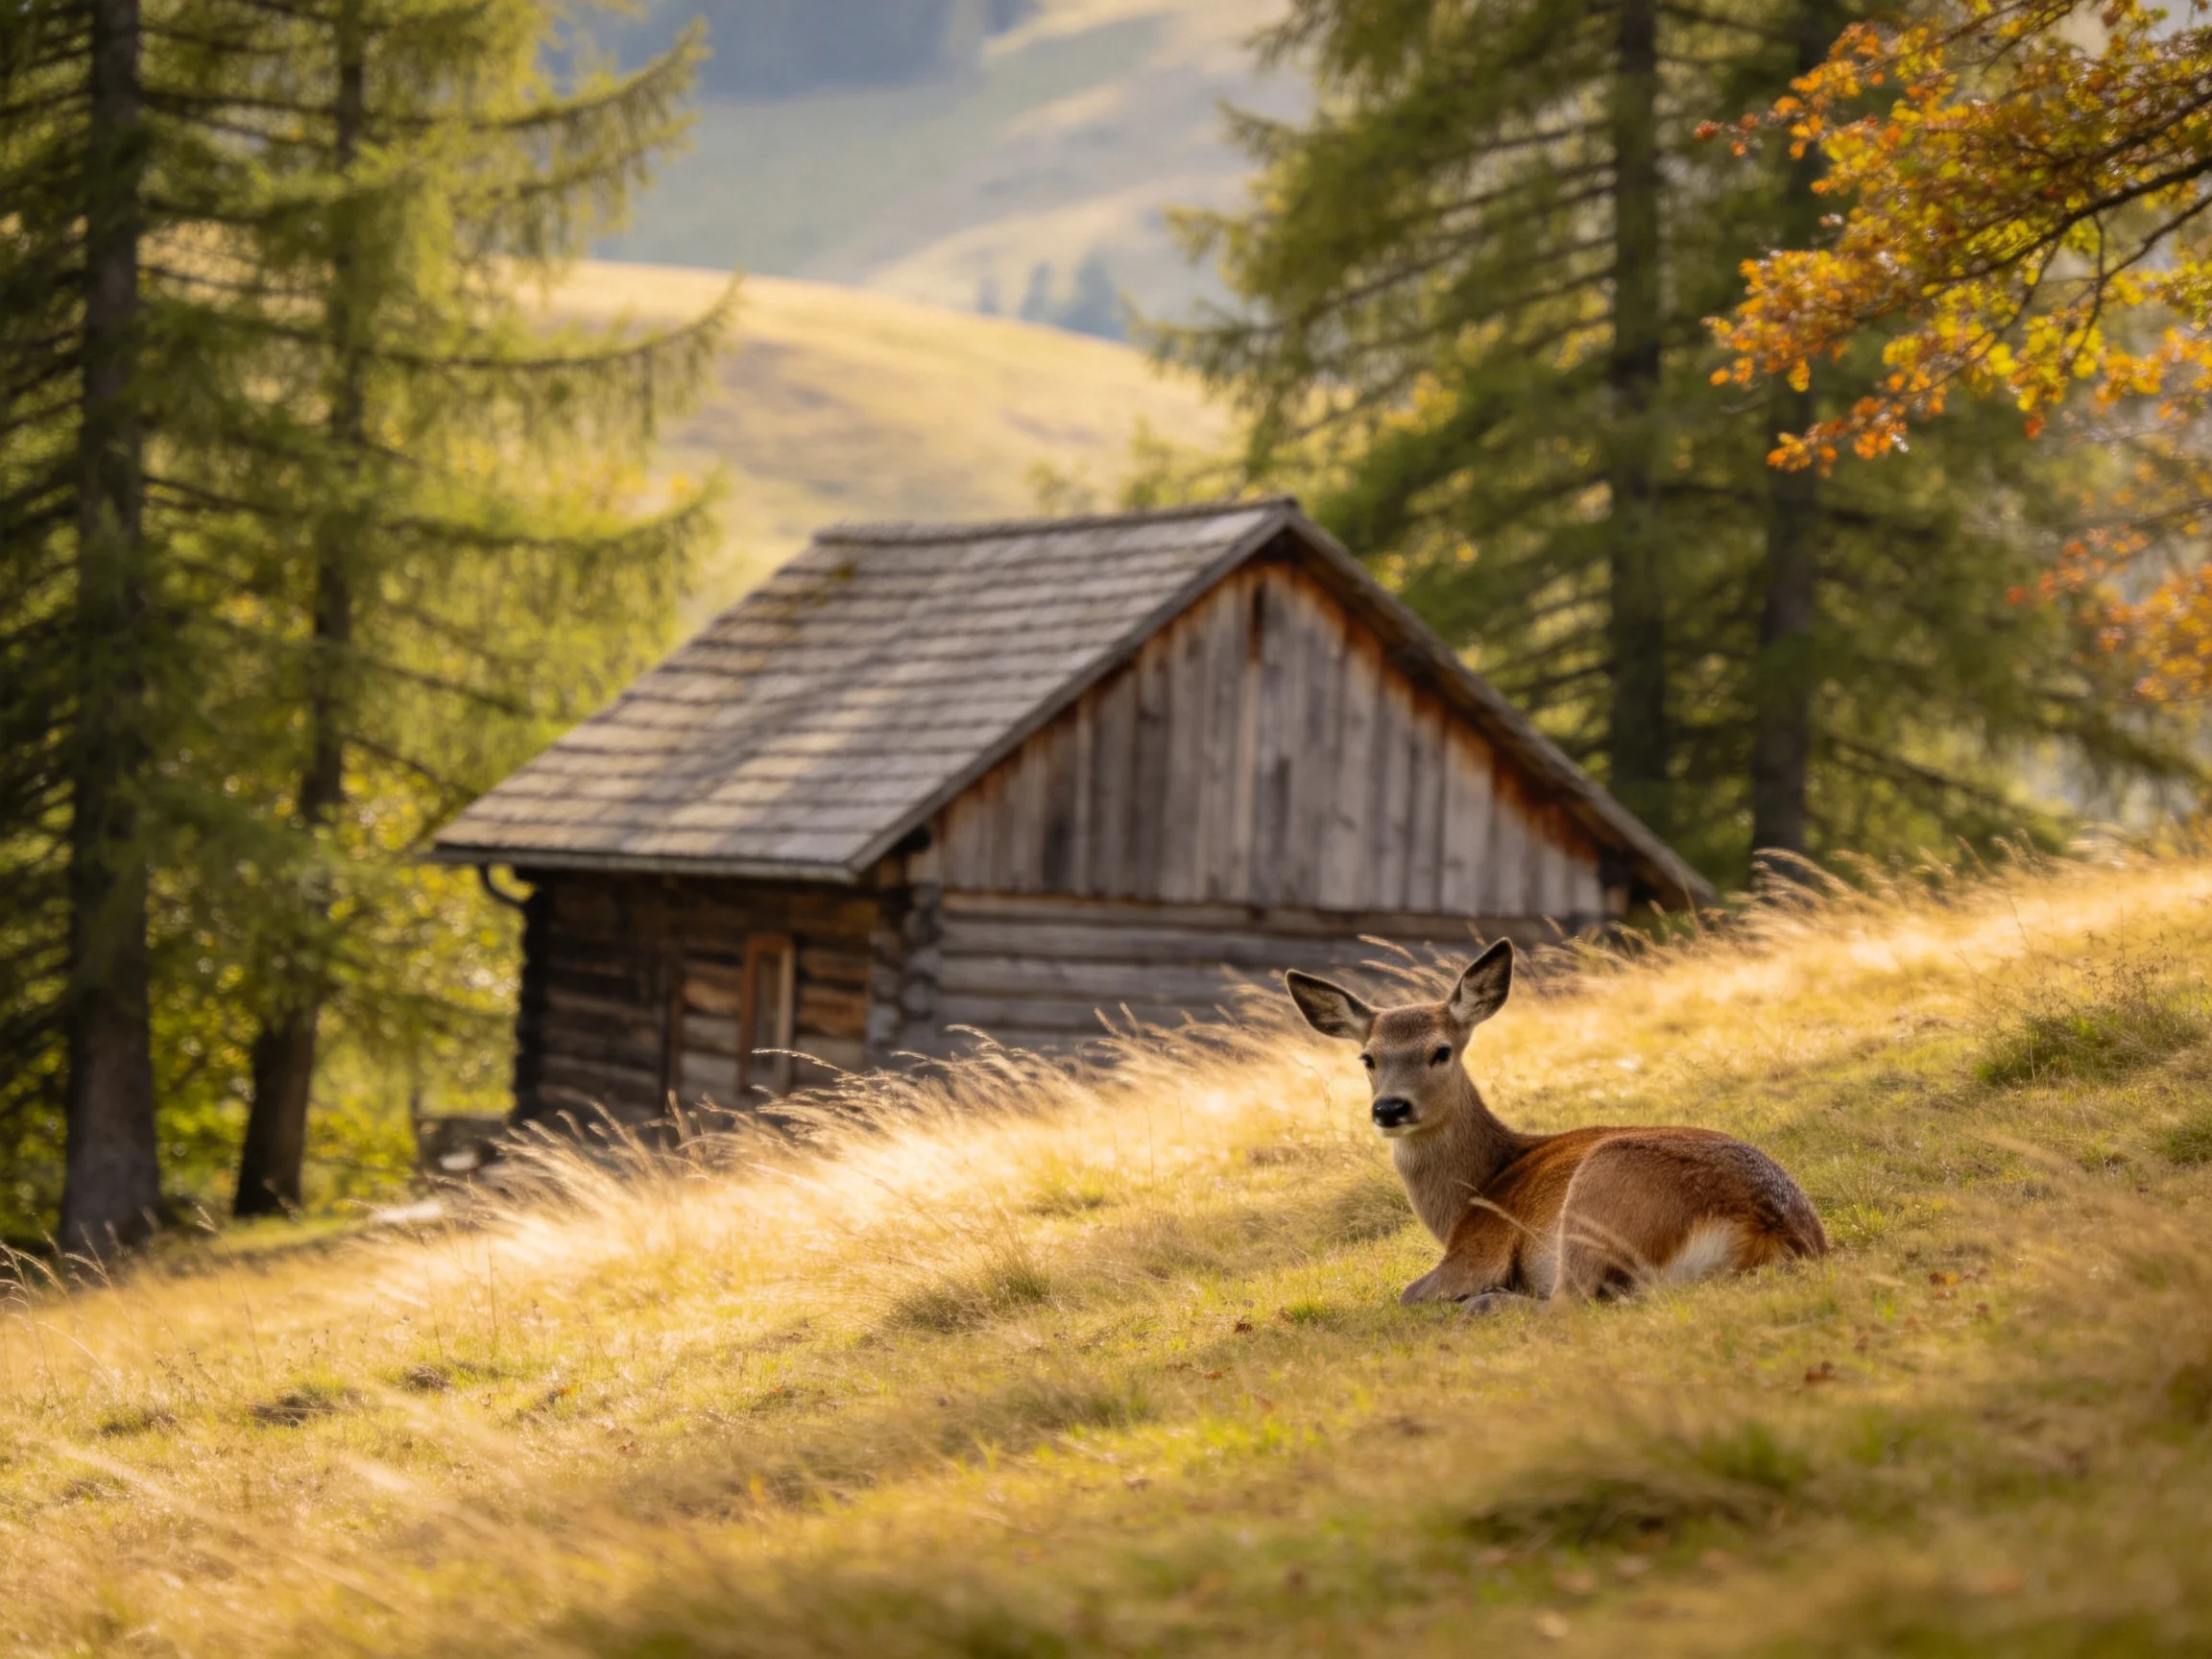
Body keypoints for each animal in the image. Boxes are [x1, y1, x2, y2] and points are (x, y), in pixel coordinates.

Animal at [1286, 940, 1826, 1310]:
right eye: (1368, 1058)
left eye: (1440, 1051)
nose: (1390, 1108)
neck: (1476, 1189)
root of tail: (1769, 1230)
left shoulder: (1480, 1246)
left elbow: (1409, 1292)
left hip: (1599, 1192)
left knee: (1570, 1302)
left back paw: (1487, 1304)